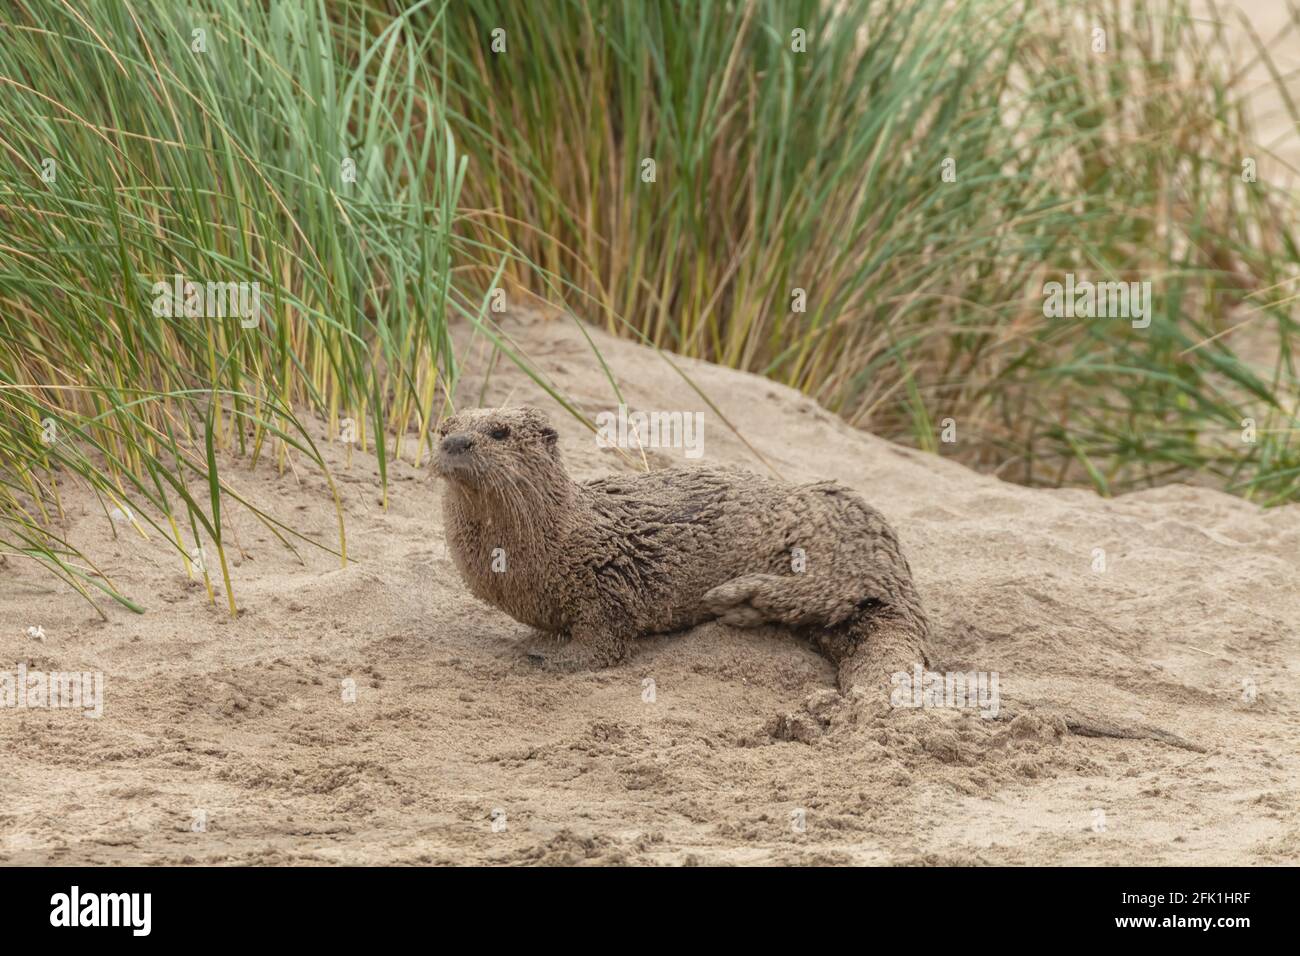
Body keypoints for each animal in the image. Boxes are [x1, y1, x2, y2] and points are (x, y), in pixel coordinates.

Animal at [432, 405, 930, 700]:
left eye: (500, 431)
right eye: (442, 429)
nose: (455, 443)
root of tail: (894, 560)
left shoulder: (607, 579)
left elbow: (604, 641)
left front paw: (555, 659)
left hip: (827, 539)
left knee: (830, 590)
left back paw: (734, 599)